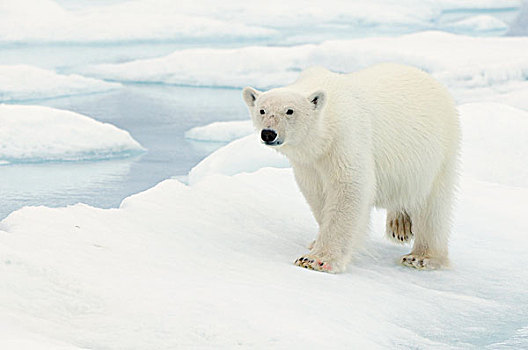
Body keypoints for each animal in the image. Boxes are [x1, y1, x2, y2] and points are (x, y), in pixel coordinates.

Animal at [241, 63, 460, 274]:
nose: (268, 133)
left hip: (438, 151)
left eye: (289, 111)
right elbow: (316, 193)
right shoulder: (309, 163)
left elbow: (349, 187)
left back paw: (422, 257)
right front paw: (315, 243)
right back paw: (400, 225)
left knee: (433, 205)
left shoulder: (346, 137)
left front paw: (316, 260)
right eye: (262, 110)